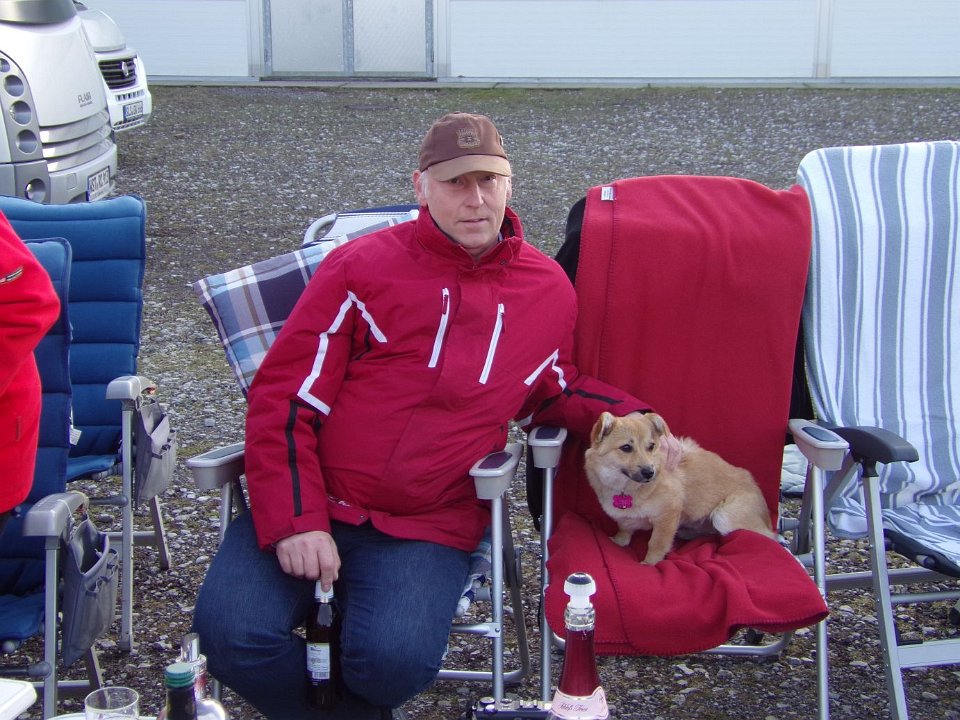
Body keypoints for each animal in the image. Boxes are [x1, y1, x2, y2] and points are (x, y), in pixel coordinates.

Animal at [584, 412, 775, 564]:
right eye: (626, 447)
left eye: (651, 446)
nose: (649, 472)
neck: (627, 488)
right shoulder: (625, 519)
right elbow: (624, 529)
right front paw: (618, 541)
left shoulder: (668, 514)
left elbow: (656, 543)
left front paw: (649, 563)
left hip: (724, 515)